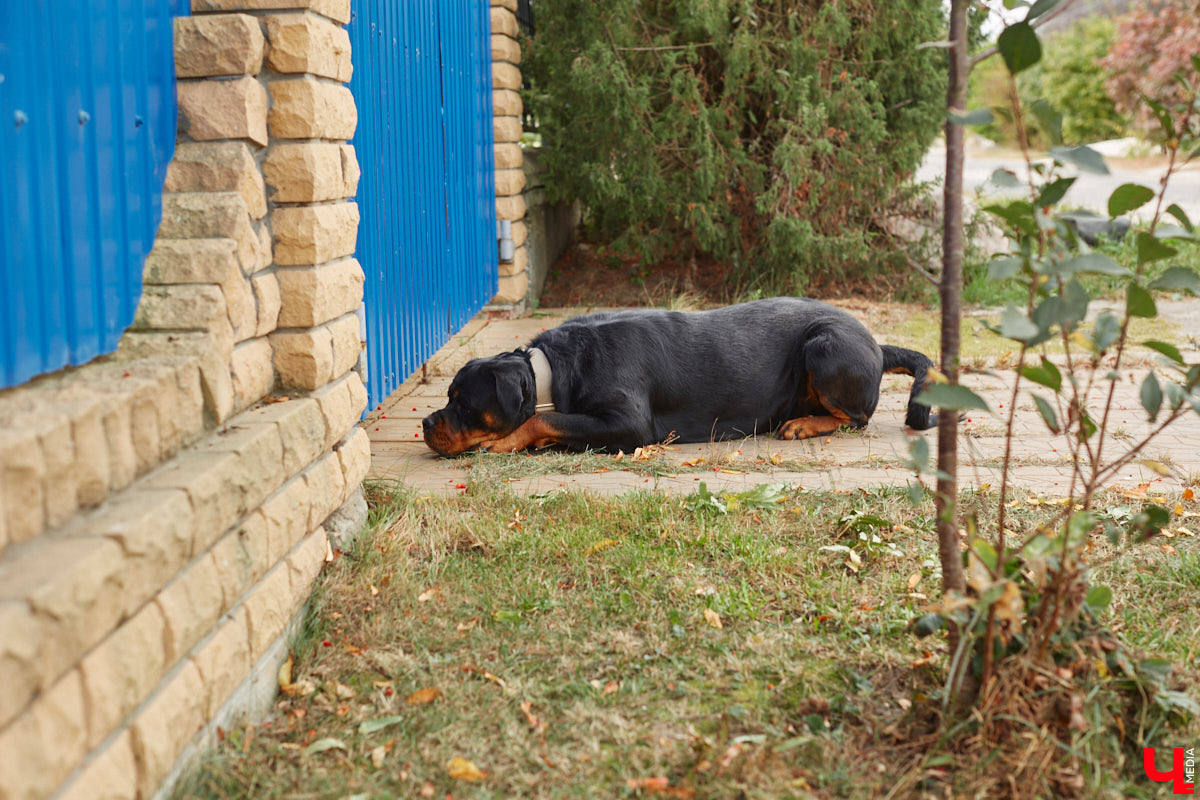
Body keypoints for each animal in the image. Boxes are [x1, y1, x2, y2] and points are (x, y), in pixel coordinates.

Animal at [422, 297, 936, 455]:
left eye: (463, 402)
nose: (426, 422)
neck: (552, 370)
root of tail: (876, 344)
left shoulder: (631, 424)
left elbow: (541, 417)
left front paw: (506, 440)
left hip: (825, 347)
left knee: (857, 417)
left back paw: (804, 424)